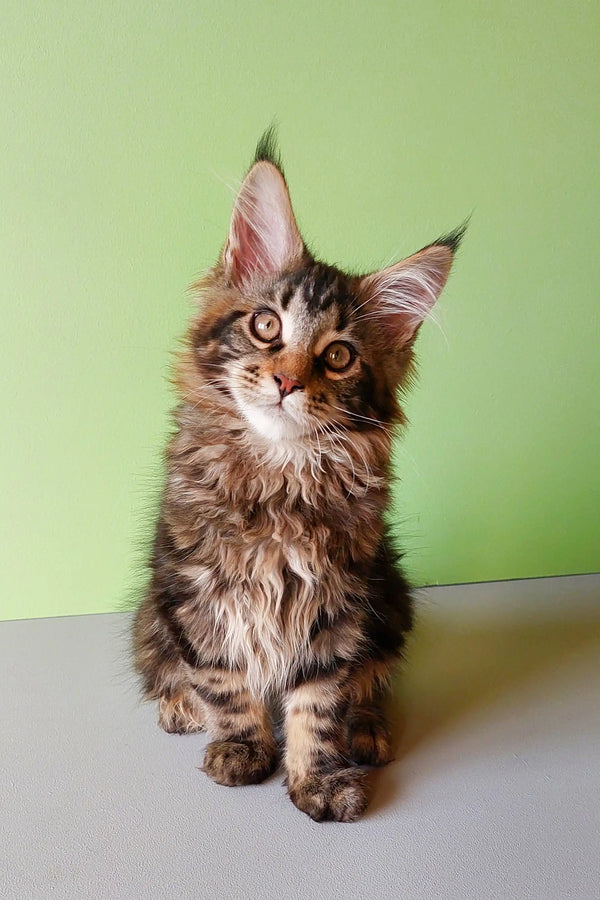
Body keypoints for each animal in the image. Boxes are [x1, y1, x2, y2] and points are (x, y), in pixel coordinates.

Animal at [135, 130, 464, 828]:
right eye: (266, 325)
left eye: (338, 356)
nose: (287, 381)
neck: (277, 477)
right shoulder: (196, 588)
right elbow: (222, 680)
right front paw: (241, 748)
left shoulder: (341, 602)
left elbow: (321, 700)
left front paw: (320, 777)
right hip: (151, 616)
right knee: (166, 668)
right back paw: (180, 708)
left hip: (391, 599)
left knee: (373, 682)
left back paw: (367, 730)